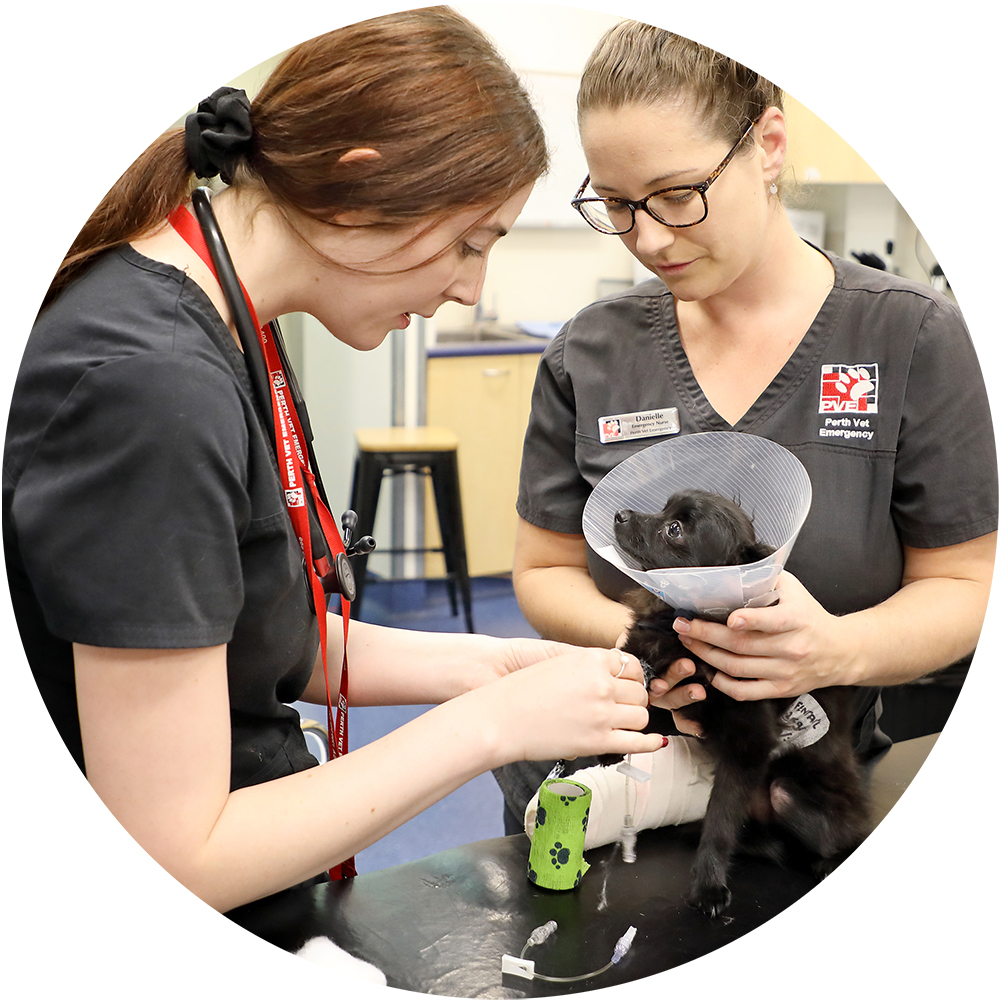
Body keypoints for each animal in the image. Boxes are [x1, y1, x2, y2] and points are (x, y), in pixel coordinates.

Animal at [608, 488, 868, 916]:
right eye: (663, 506)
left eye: (674, 528)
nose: (620, 513)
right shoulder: (642, 653)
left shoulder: (748, 746)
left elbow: (720, 820)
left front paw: (708, 884)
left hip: (787, 794)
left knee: (838, 839)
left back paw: (829, 862)